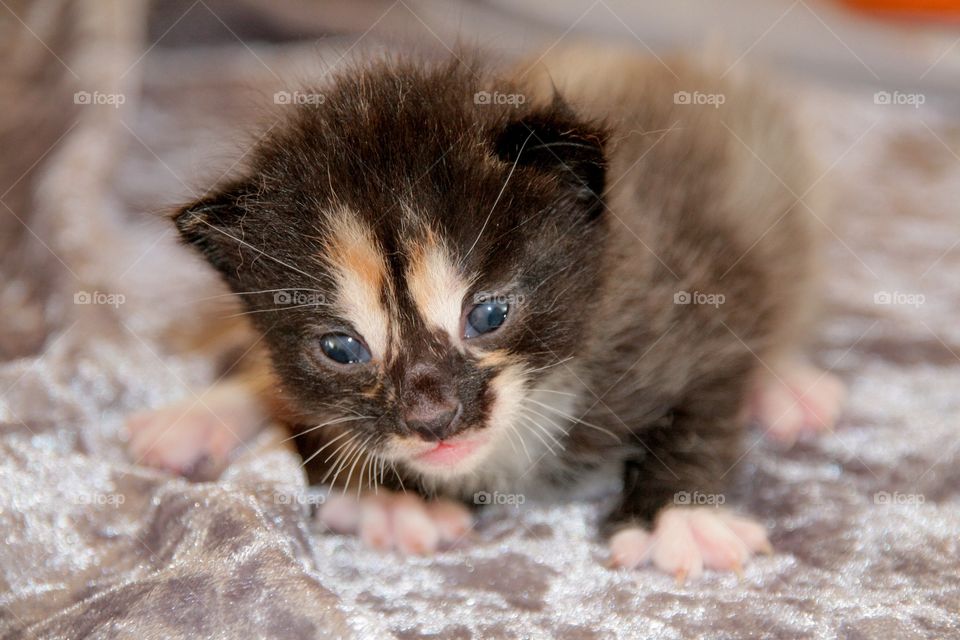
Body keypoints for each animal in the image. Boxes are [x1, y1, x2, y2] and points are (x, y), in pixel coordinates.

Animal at [125, 46, 840, 580]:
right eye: (341, 349)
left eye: (490, 314)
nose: (432, 419)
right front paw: (393, 500)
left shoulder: (695, 290)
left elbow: (708, 398)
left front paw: (678, 517)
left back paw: (787, 385)